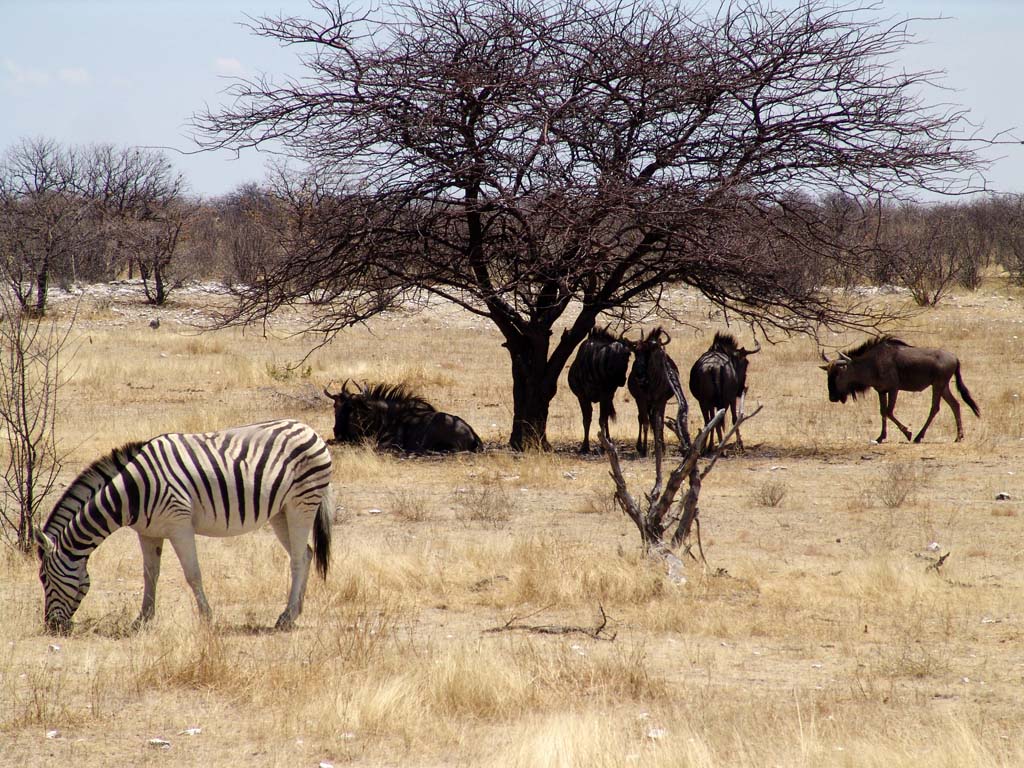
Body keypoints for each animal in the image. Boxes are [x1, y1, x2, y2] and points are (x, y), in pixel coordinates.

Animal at [34, 421, 331, 638]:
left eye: (44, 579)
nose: (52, 627)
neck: (130, 492)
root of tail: (308, 428)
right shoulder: (148, 532)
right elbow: (150, 575)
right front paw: (142, 620)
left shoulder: (179, 524)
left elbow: (193, 574)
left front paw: (207, 620)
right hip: (280, 512)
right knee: (306, 554)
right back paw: (296, 612)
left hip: (301, 504)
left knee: (297, 559)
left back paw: (285, 617)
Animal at [569, 325, 630, 456]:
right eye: (612, 355)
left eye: (627, 355)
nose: (621, 380)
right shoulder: (582, 397)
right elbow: (586, 420)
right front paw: (584, 446)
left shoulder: (605, 396)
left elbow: (601, 420)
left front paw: (603, 446)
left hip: (609, 397)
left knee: (605, 418)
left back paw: (608, 440)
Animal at [622, 325, 688, 456]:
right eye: (635, 352)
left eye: (648, 352)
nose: (639, 376)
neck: (650, 383)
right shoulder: (641, 400)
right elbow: (645, 422)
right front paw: (644, 449)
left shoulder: (661, 401)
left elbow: (660, 423)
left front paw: (662, 448)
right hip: (645, 403)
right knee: (642, 419)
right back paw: (639, 446)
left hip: (653, 403)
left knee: (653, 419)